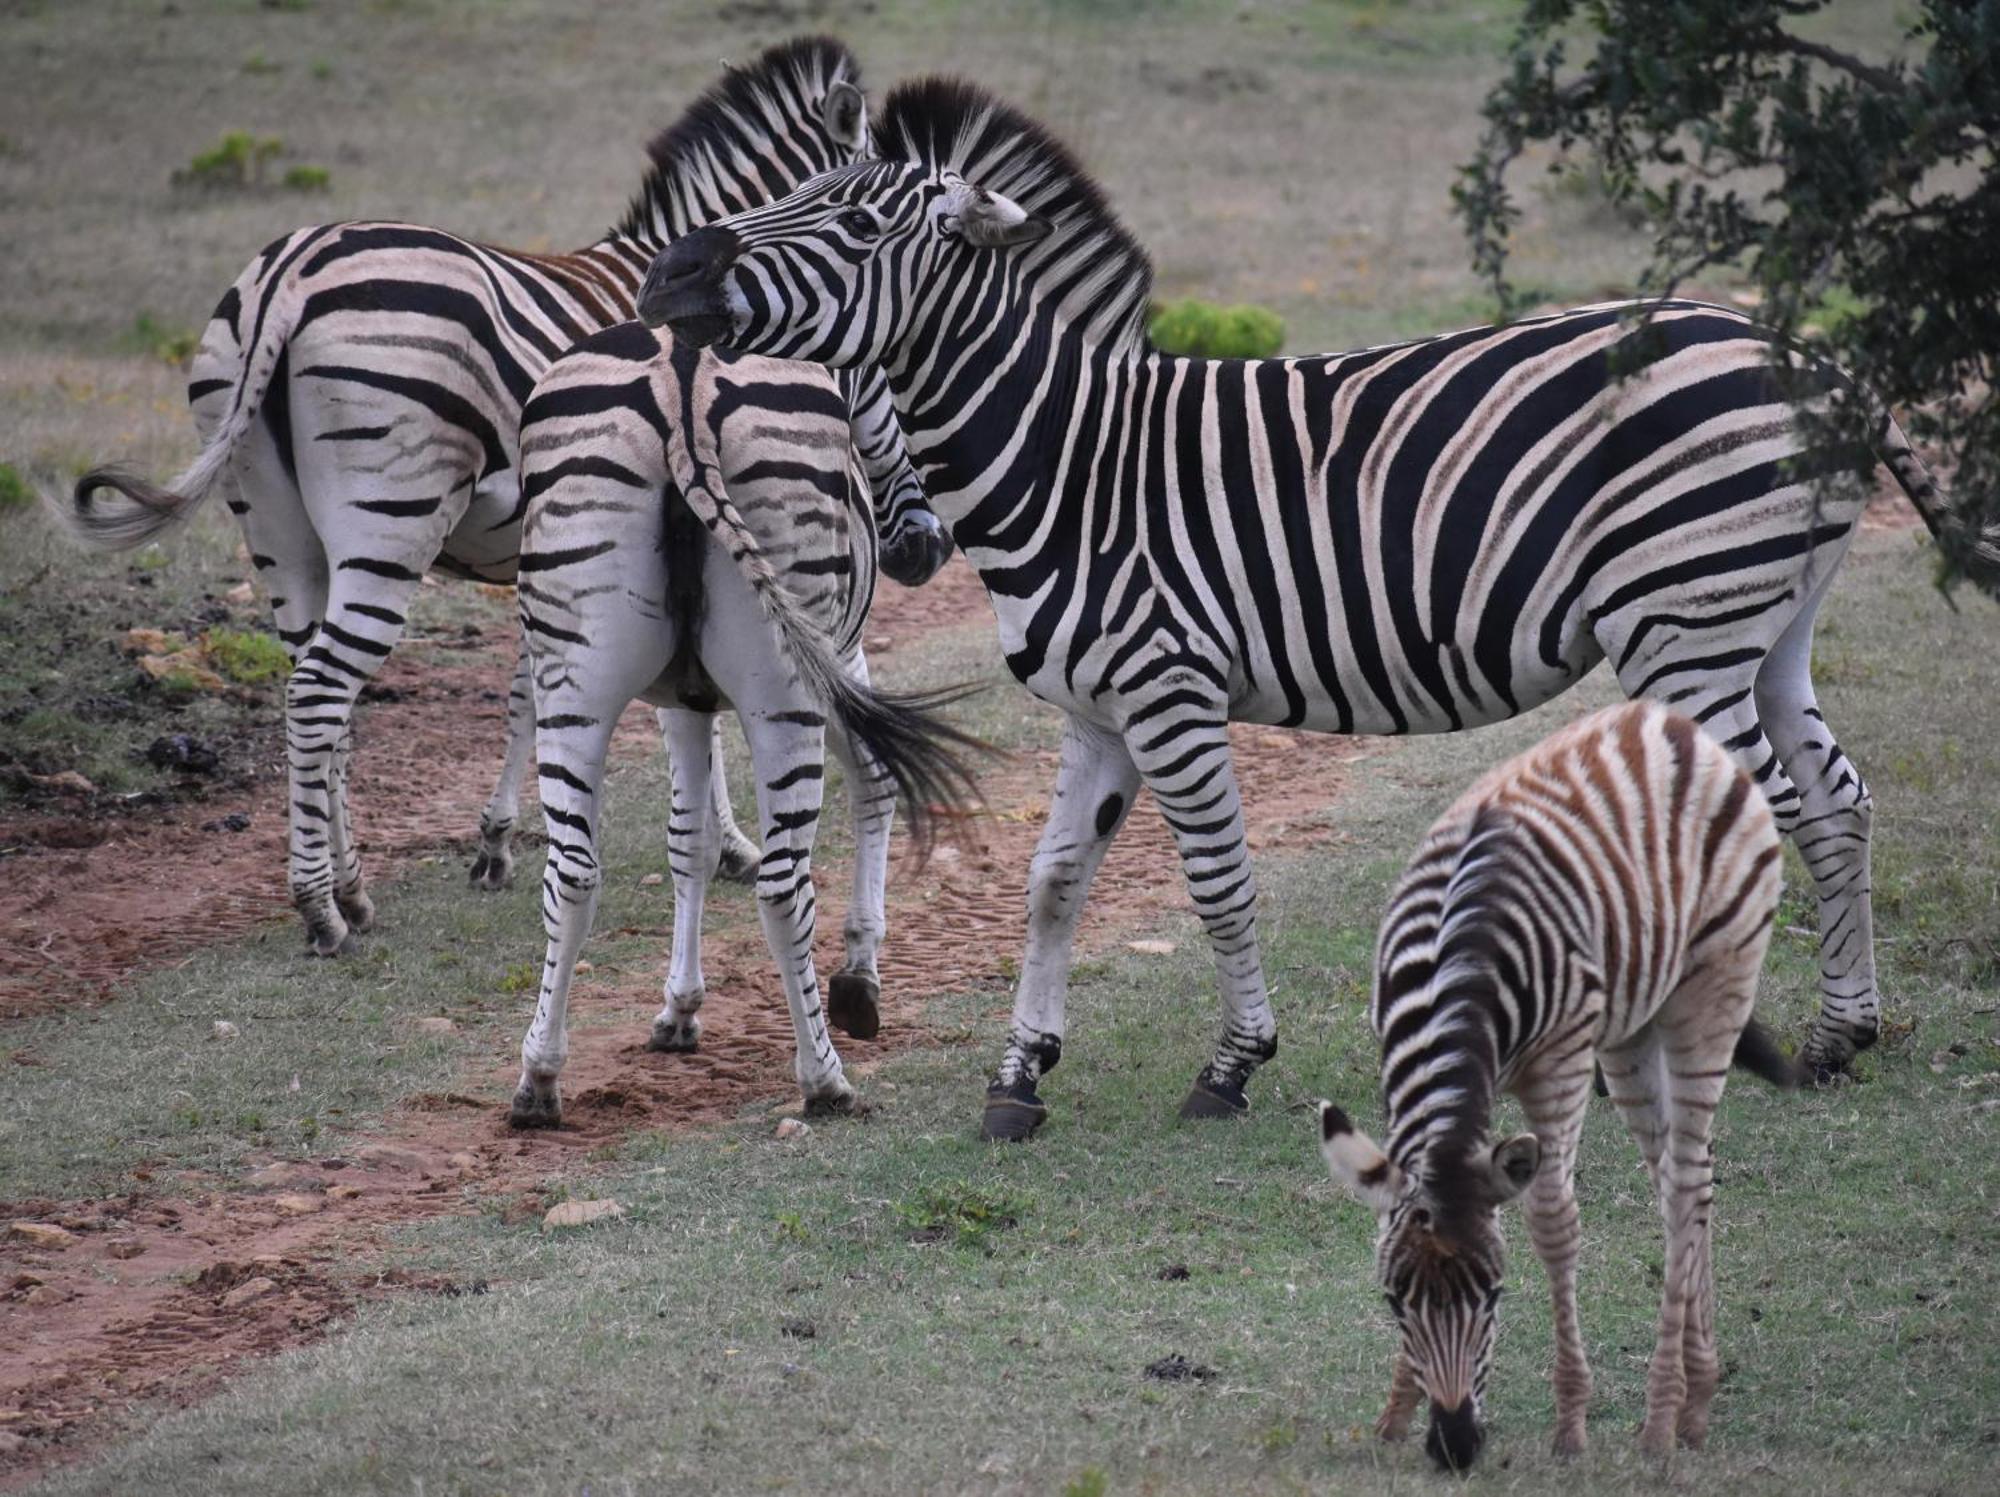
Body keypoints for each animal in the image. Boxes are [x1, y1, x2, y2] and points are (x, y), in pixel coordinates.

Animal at [50, 38, 948, 960]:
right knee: (322, 689)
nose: (924, 548)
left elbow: (529, 695)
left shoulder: (552, 558)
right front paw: (729, 843)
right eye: (884, 359)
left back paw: (352, 885)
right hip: (391, 515)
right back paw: (321, 906)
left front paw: (496, 840)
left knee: (315, 692)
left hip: (271, 521)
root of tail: (289, 275)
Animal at [508, 324, 984, 1120]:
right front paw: (860, 978)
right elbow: (877, 783)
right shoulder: (839, 657)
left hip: (573, 674)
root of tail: (681, 381)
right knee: (784, 883)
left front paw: (680, 1009)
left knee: (571, 874)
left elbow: (689, 841)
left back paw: (539, 1079)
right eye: (887, 376)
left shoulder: (681, 702)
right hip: (784, 684)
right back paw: (824, 1078)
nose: (924, 549)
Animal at [632, 79, 2000, 1136]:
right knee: (1834, 802)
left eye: (856, 221)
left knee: (1775, 813)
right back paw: (1837, 1038)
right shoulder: (1091, 710)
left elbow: (1218, 880)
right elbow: (1053, 883)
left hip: (1685, 626)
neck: (1070, 459)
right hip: (1763, 627)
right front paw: (1019, 1076)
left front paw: (1230, 1067)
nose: (667, 273)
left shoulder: (1167, 688)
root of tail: (1802, 353)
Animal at [1312, 704, 1800, 1472]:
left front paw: (1570, 1423)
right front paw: (1394, 1411)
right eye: (1394, 1300)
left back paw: (1664, 1417)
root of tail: (1663, 719)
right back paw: (1699, 1392)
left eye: (1494, 1294)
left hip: (1713, 989)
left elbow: (1553, 1223)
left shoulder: (1562, 1063)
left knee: (1687, 1185)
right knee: (1681, 1183)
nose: (1453, 1447)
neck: (1462, 970)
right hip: (1631, 1031)